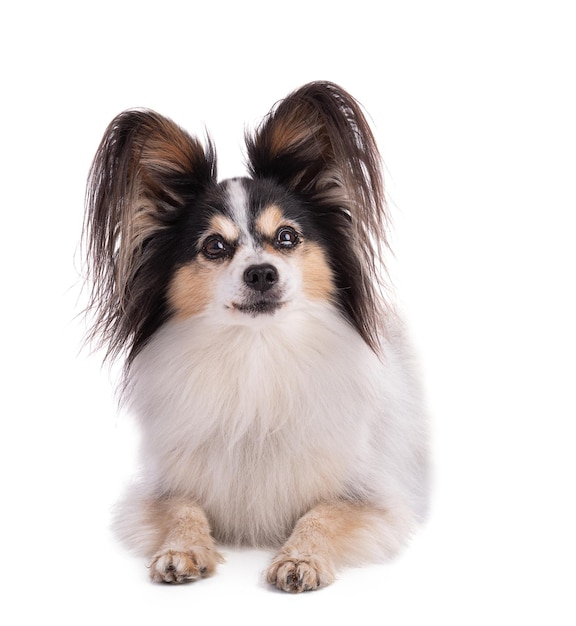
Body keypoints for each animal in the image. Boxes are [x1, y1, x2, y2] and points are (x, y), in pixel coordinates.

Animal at [82, 79, 428, 588]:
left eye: (286, 237)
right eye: (214, 246)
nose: (262, 273)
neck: (256, 355)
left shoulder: (374, 499)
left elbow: (321, 514)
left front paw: (300, 558)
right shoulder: (155, 491)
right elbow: (182, 507)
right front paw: (181, 550)